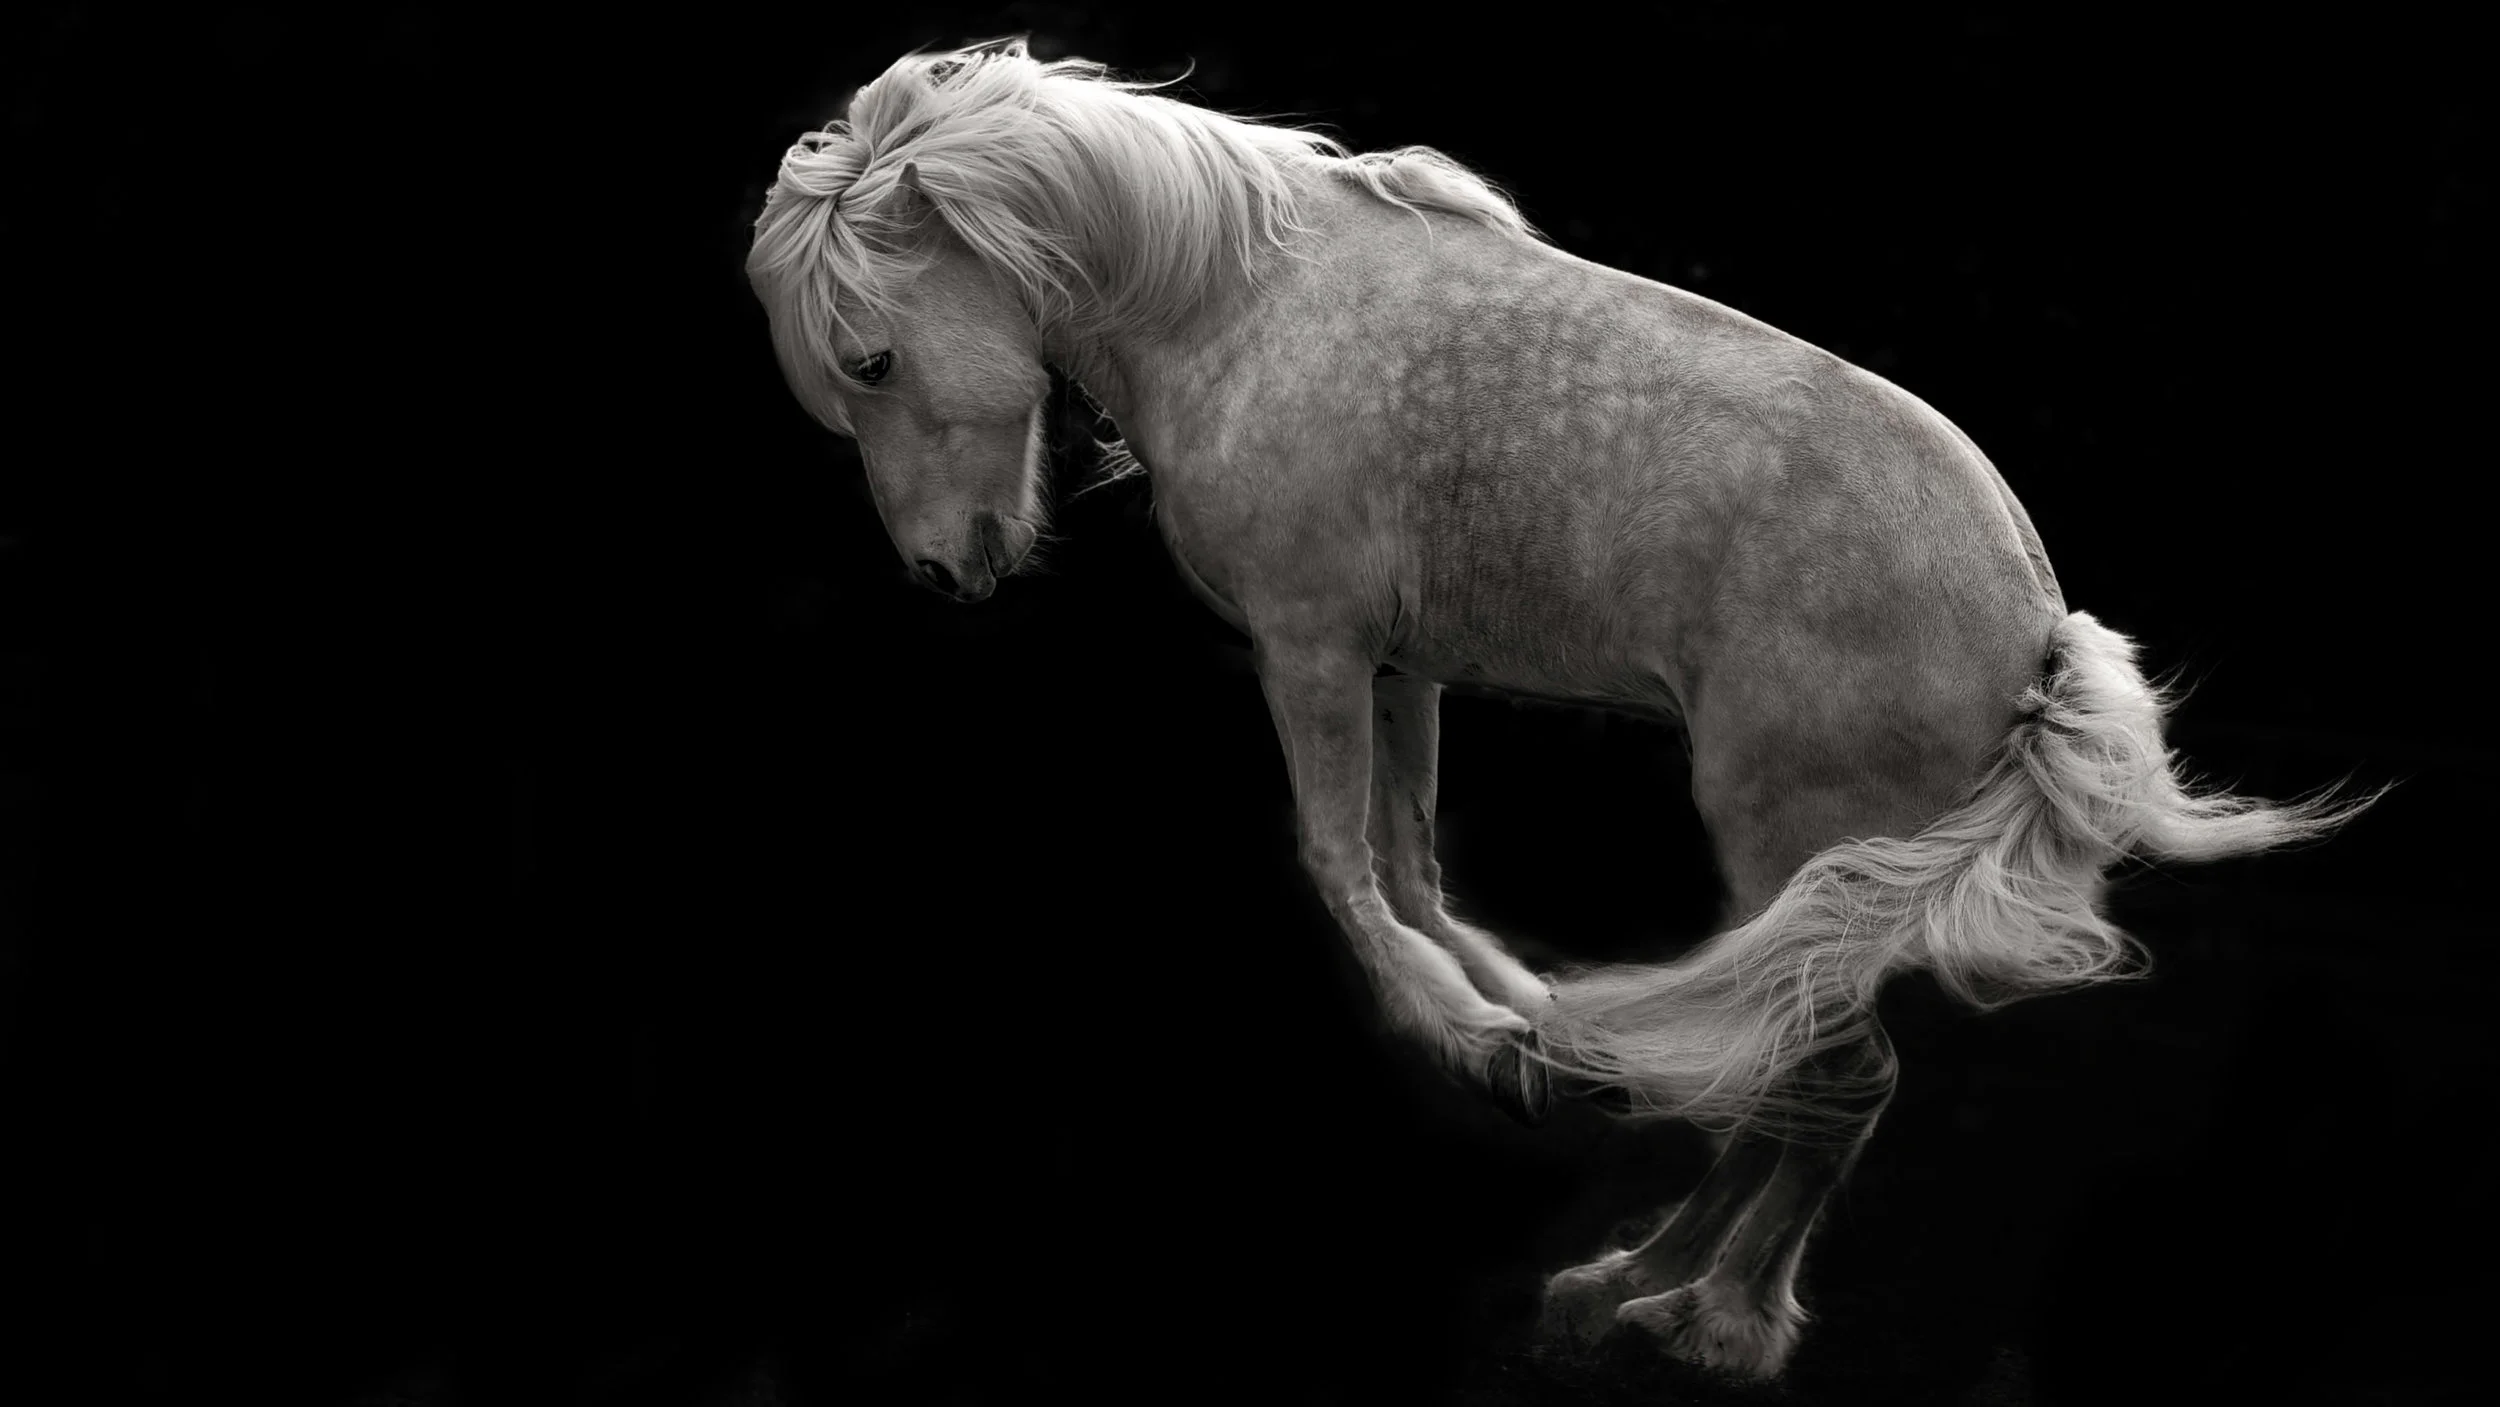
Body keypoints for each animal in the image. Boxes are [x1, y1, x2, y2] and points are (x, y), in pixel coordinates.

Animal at [743, 39, 2374, 1381]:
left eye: (873, 358)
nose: (949, 573)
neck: (1235, 307)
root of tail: (2035, 627)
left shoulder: (1310, 647)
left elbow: (1337, 863)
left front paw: (1479, 1043)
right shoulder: (1399, 667)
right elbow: (1410, 864)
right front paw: (1523, 1013)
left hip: (1784, 845)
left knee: (1827, 1079)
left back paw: (1698, 1314)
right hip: (1813, 889)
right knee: (1783, 1067)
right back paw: (1638, 1282)